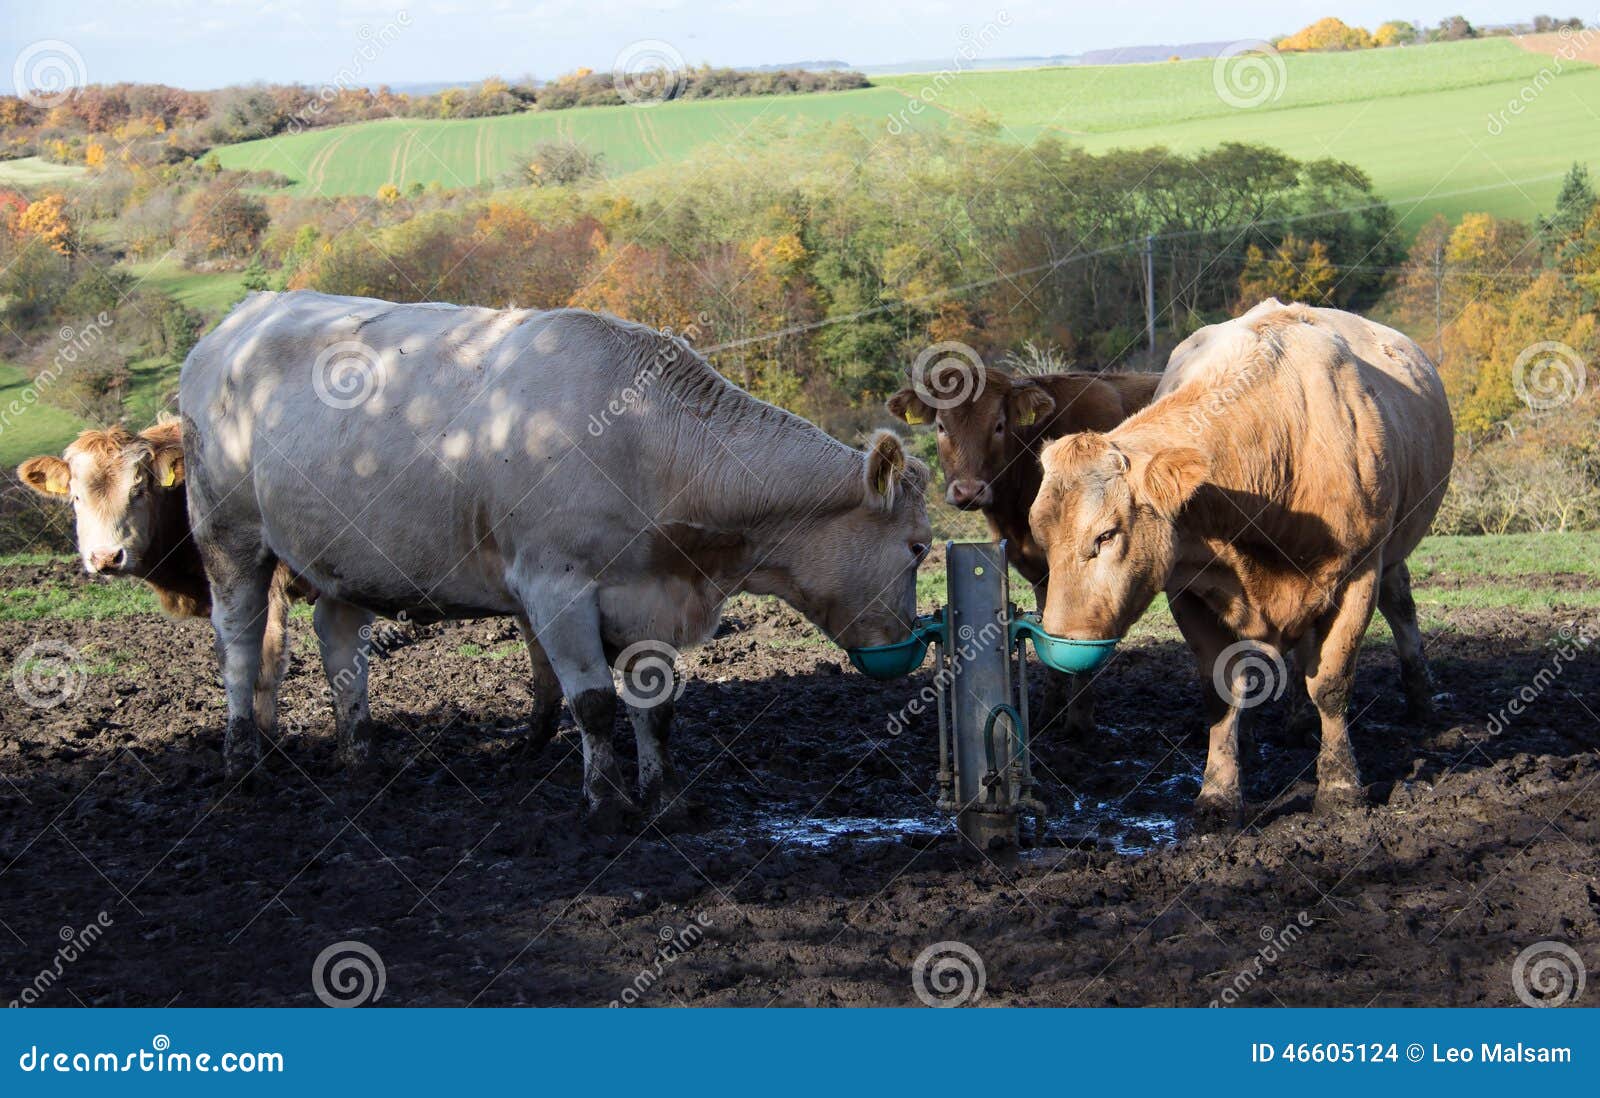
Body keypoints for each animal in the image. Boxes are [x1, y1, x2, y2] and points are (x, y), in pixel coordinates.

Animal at [180, 291, 932, 831]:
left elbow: (656, 705)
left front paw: (667, 800)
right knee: (240, 642)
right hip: (228, 532)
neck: (646, 439)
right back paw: (242, 761)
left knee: (339, 638)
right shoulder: (555, 585)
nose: (903, 640)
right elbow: (595, 702)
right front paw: (609, 803)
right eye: (919, 547)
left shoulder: (651, 592)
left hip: (344, 549)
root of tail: (244, 316)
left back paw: (359, 753)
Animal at [887, 365, 1160, 735]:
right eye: (942, 427)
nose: (968, 491)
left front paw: (1079, 722)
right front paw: (1049, 714)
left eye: (999, 425)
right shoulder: (1040, 571)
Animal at [1028, 300, 1452, 829]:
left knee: (1400, 610)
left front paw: (1340, 787)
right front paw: (1219, 794)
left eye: (1106, 535)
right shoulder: (1187, 588)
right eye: (1039, 535)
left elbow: (1332, 682)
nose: (1060, 641)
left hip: (1391, 555)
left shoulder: (1360, 572)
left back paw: (1420, 699)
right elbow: (1221, 691)